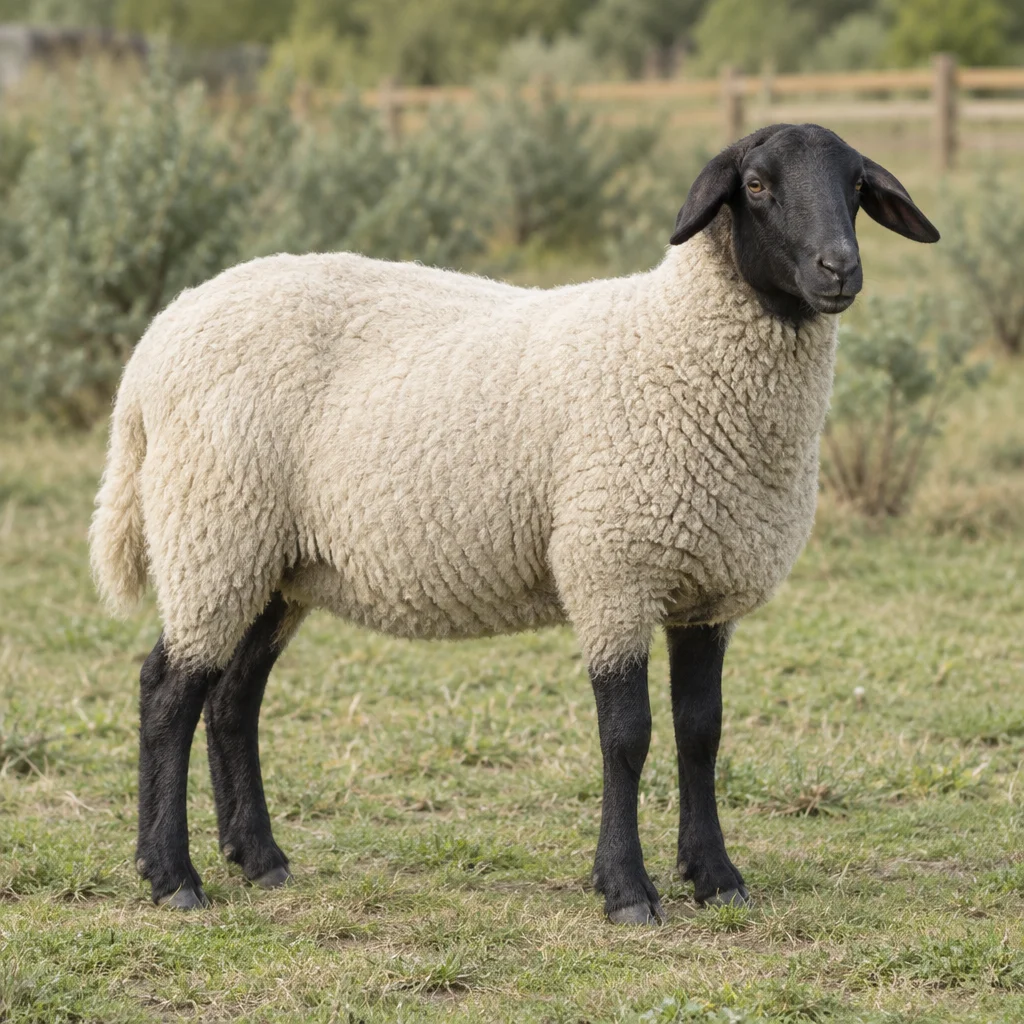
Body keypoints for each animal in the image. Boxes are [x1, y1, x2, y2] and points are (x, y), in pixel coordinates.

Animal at [90, 123, 939, 923]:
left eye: (856, 187)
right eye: (757, 185)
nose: (839, 270)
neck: (675, 342)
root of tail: (152, 347)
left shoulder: (706, 591)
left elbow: (702, 732)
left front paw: (716, 877)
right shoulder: (611, 567)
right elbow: (628, 738)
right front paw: (626, 889)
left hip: (274, 562)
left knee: (233, 699)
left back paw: (260, 858)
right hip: (215, 529)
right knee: (167, 693)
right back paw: (172, 875)